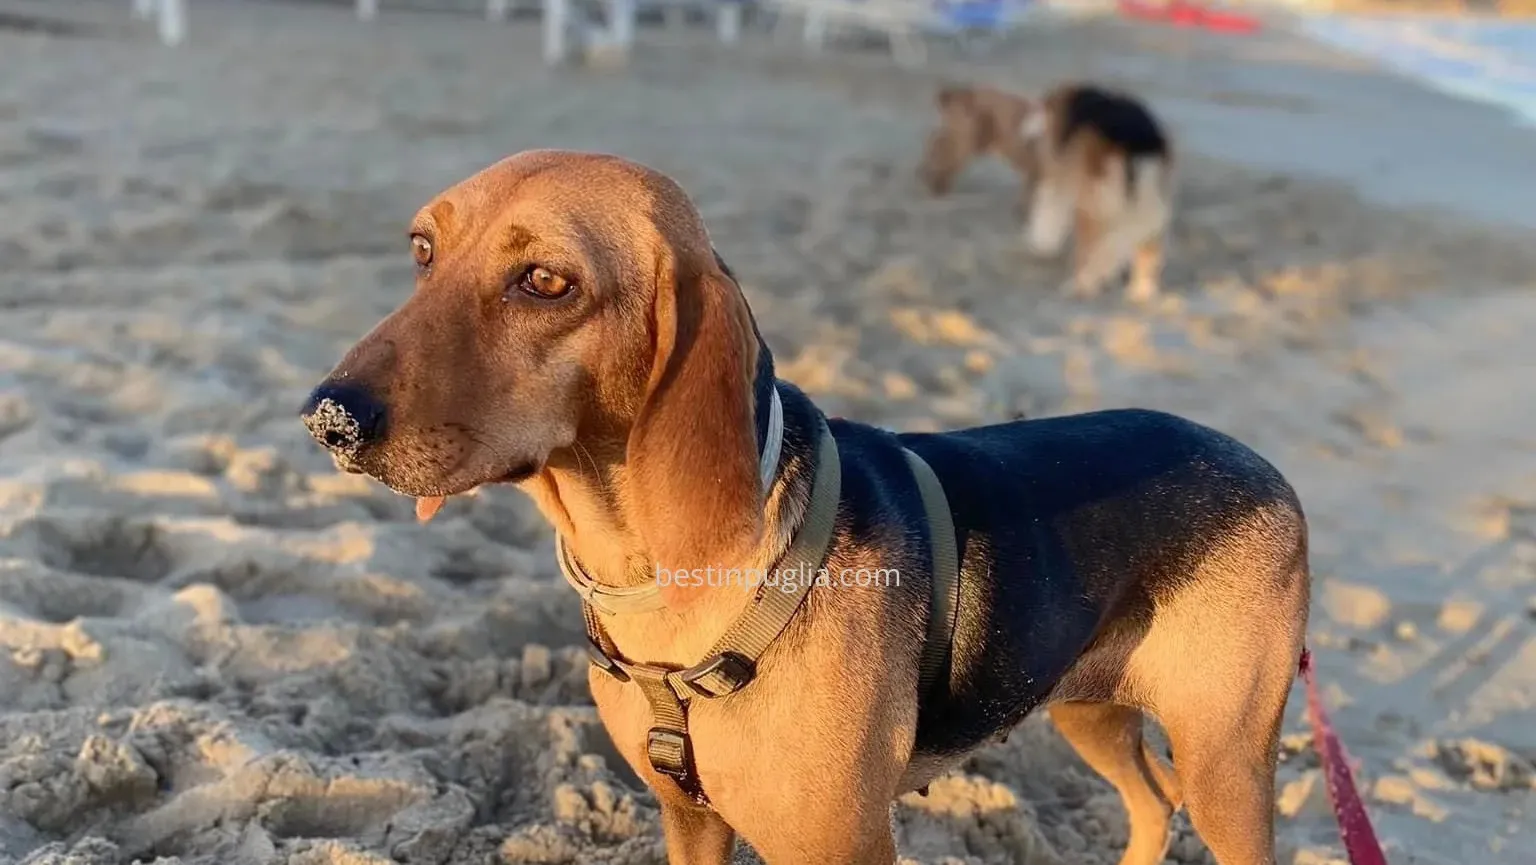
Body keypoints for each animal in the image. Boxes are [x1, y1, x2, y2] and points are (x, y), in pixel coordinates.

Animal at [308, 150, 1308, 865]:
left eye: (546, 282)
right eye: (422, 252)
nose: (328, 416)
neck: (662, 577)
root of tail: (1266, 466)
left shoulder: (844, 848)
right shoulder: (690, 819)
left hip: (1225, 765)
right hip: (1088, 706)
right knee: (1152, 801)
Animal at [921, 81, 1173, 302]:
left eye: (1039, 107)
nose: (1023, 128)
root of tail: (1138, 144)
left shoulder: (1057, 179)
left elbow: (1048, 213)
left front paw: (1041, 244)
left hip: (1092, 206)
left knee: (1091, 251)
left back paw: (1080, 286)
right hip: (1150, 206)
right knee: (1147, 251)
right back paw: (1140, 293)